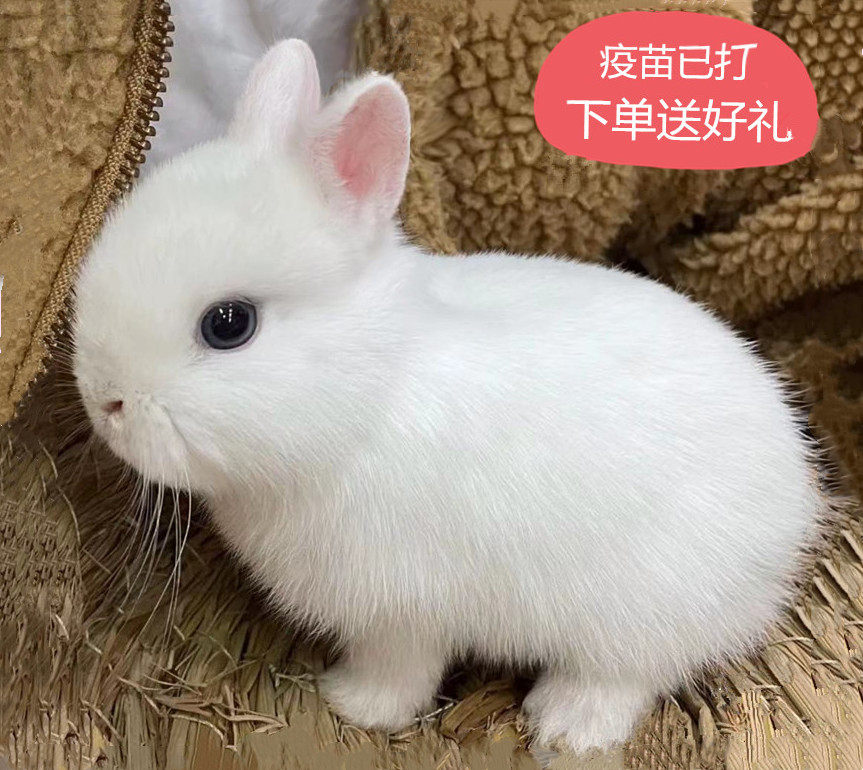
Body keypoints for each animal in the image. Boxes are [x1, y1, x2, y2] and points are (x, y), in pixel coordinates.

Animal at [73, 39, 822, 754]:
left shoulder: (402, 610)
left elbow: (400, 673)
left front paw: (352, 705)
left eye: (228, 324)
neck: (367, 394)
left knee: (629, 674)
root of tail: (795, 504)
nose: (104, 402)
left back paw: (567, 723)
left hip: (644, 610)